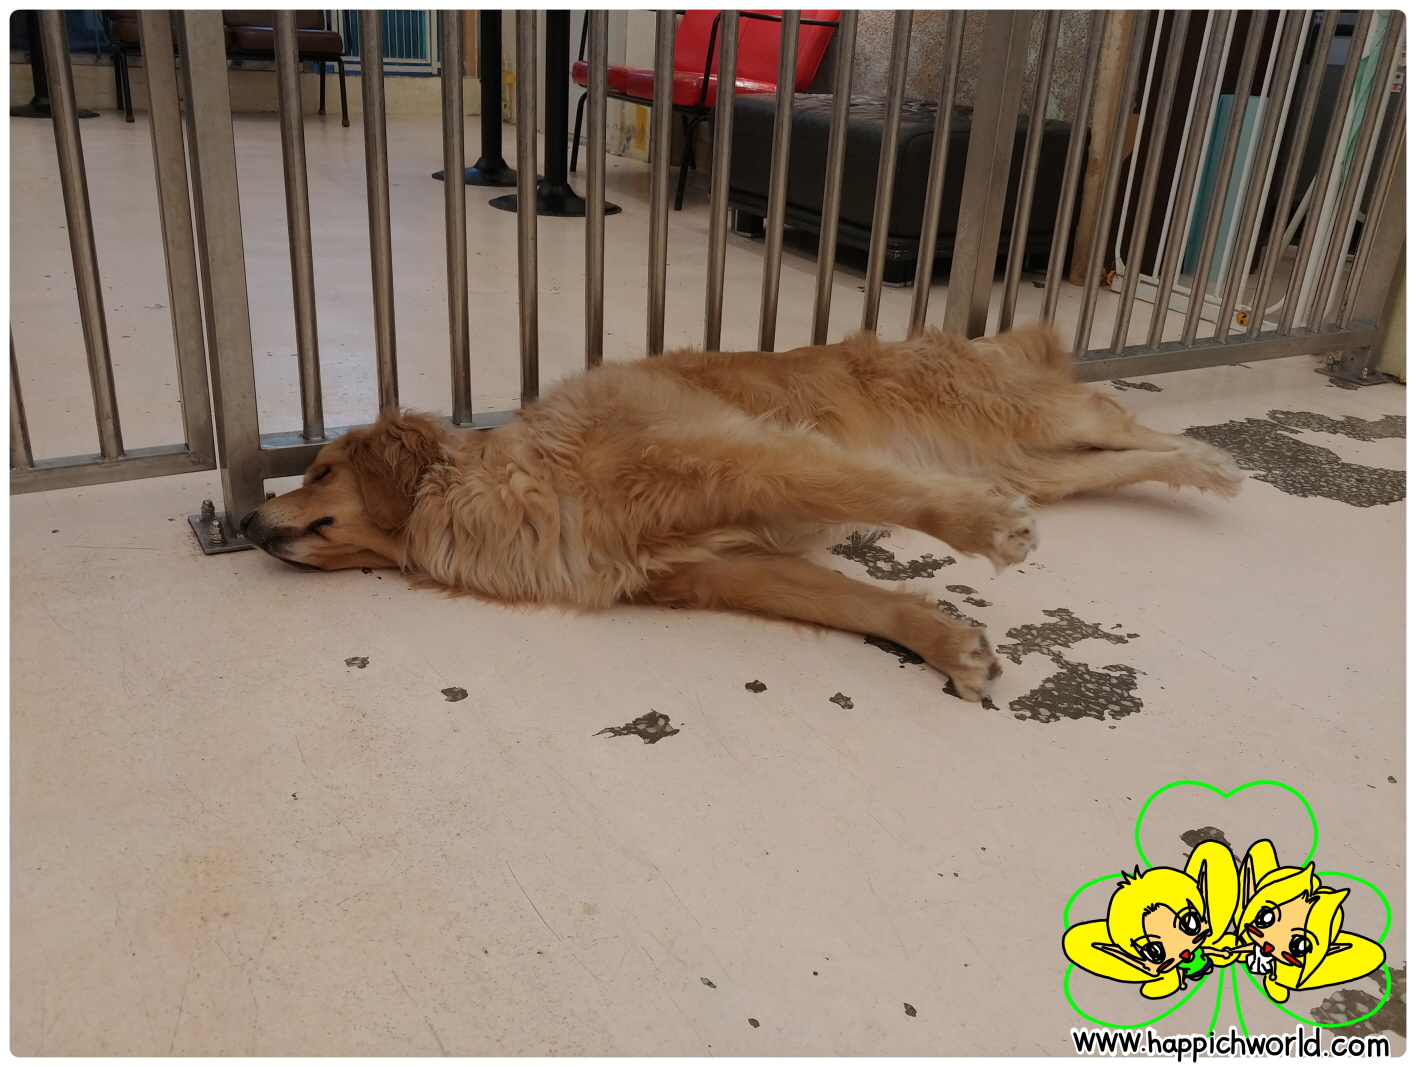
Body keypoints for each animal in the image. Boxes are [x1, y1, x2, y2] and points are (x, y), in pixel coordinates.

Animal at [242, 325, 1242, 701]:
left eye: (320, 468)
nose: (247, 524)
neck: (530, 477)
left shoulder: (754, 457)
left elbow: (882, 493)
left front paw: (983, 532)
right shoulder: (721, 568)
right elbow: (867, 605)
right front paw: (951, 645)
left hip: (1014, 420)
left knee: (1108, 414)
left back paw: (1216, 464)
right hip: (1029, 458)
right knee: (1111, 455)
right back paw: (1198, 469)